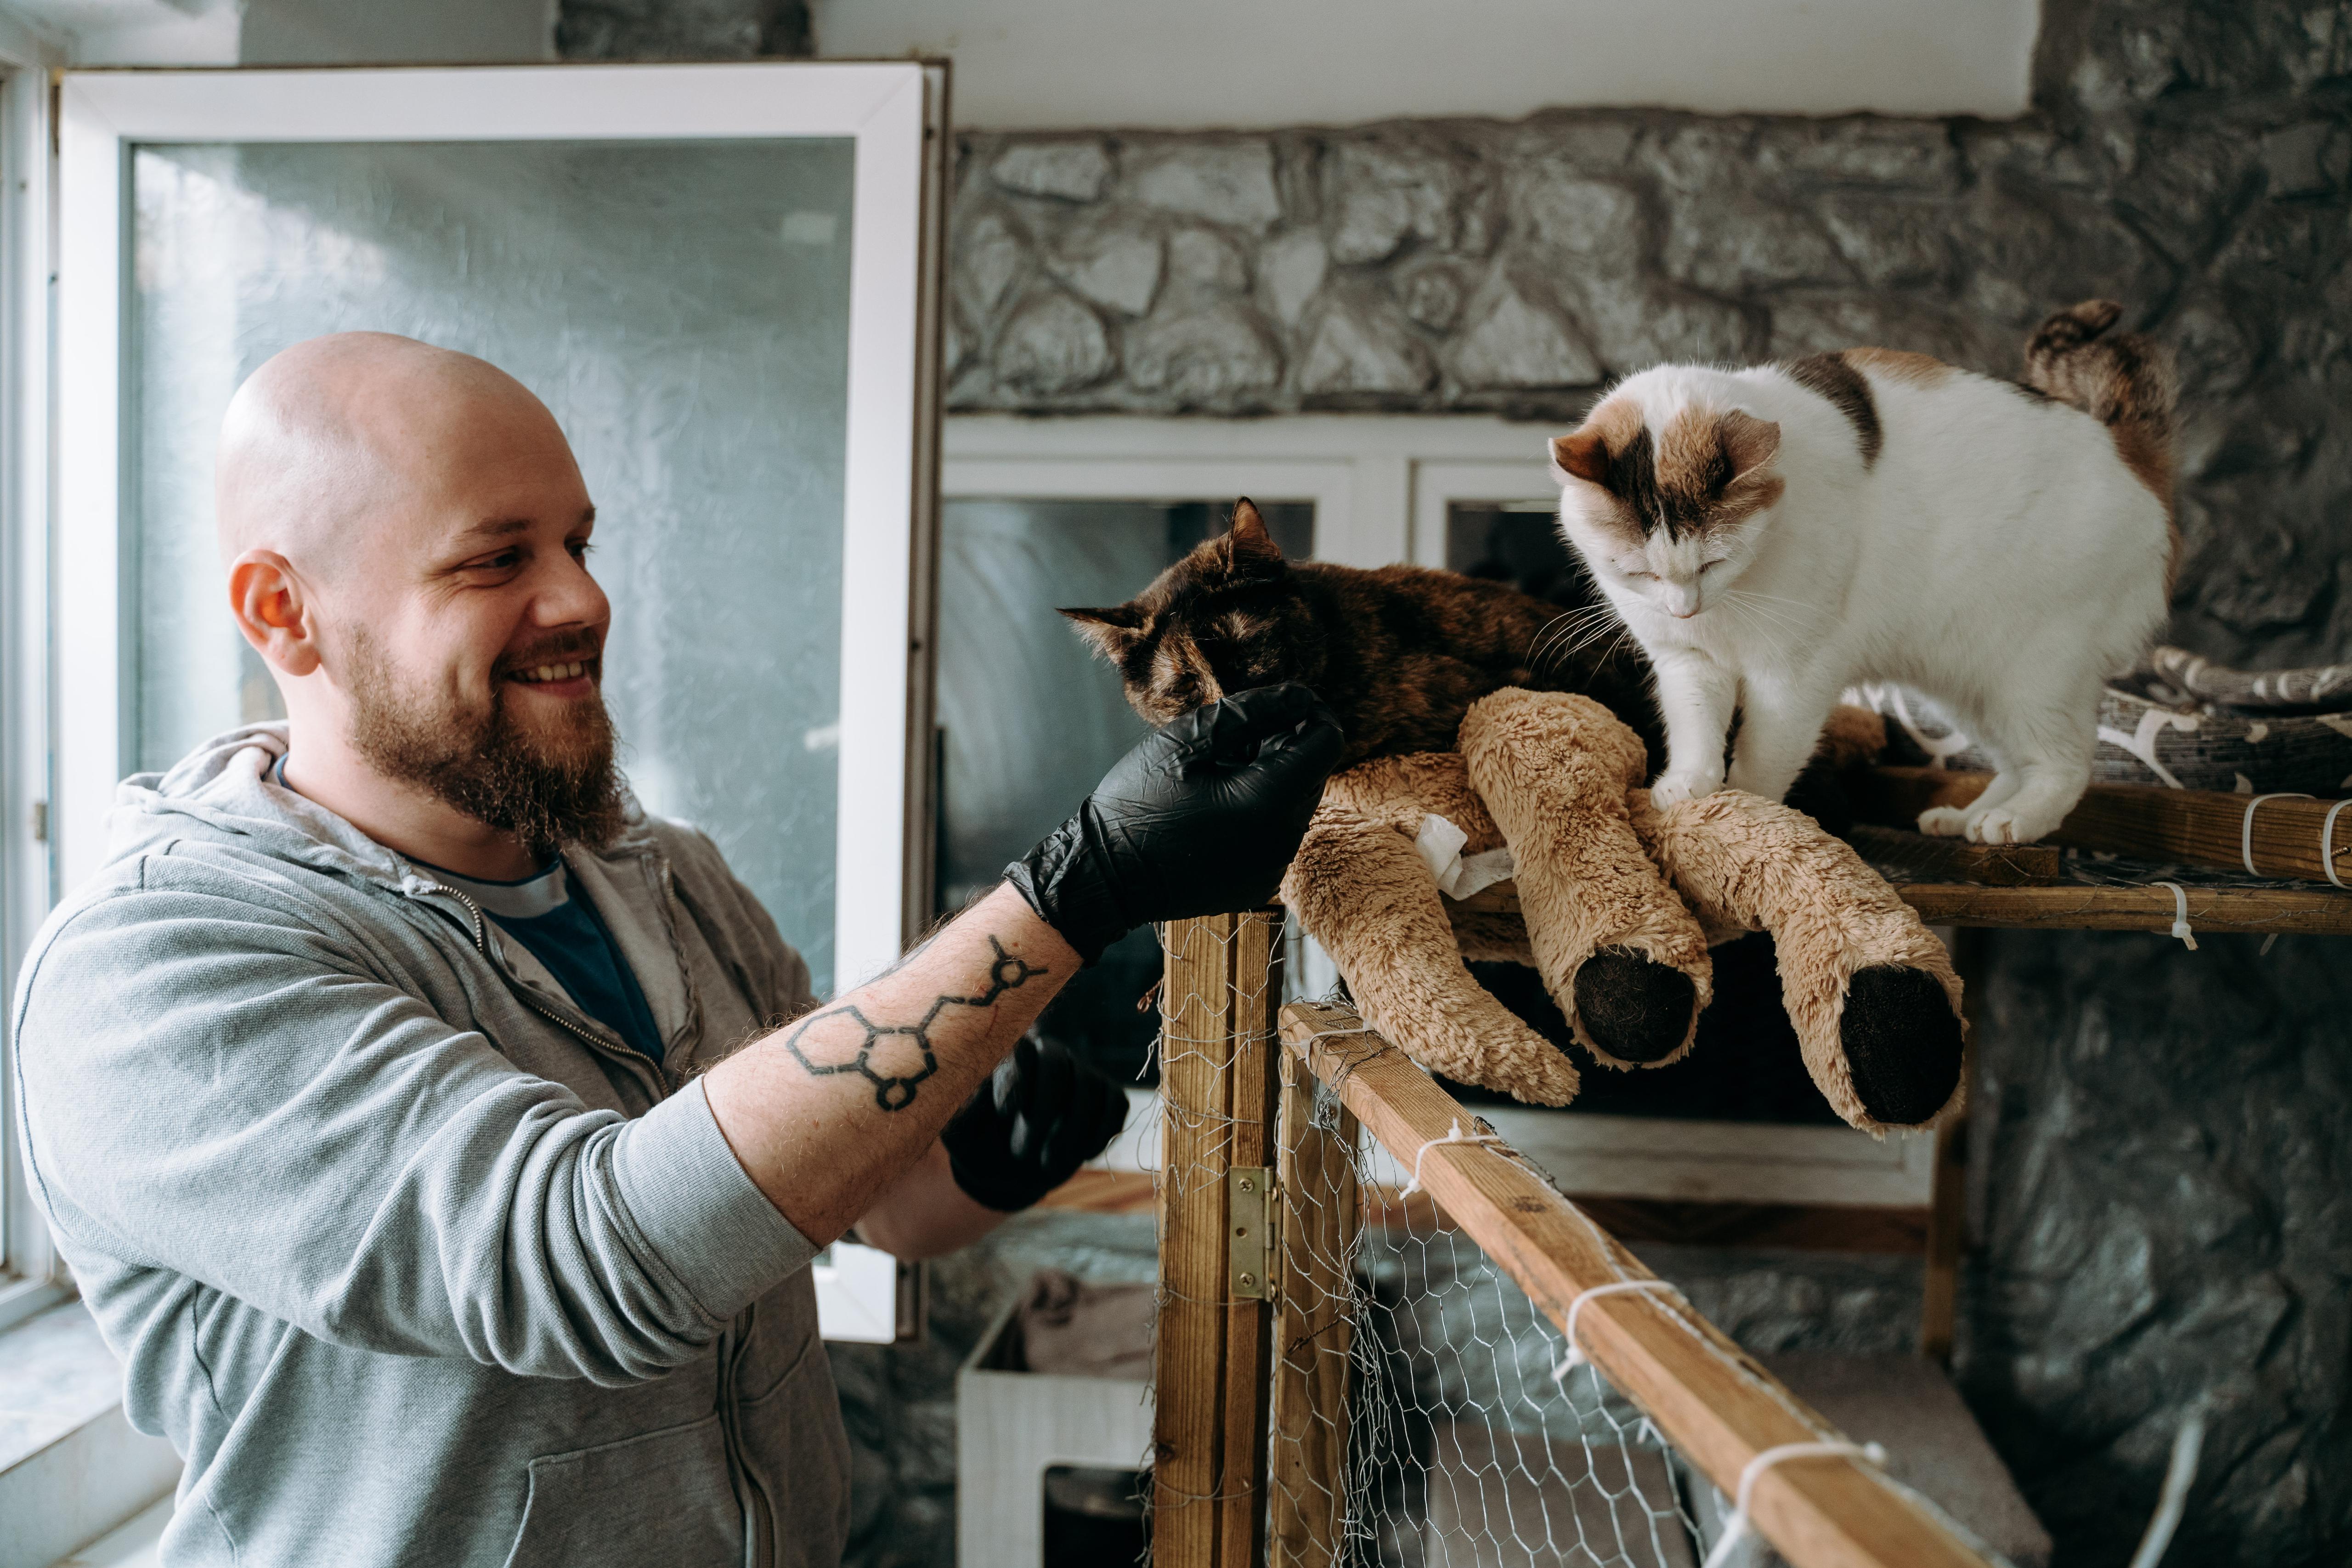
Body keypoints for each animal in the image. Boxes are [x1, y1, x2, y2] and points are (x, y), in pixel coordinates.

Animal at [1547, 299, 2177, 846]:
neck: (1726, 603)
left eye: (1713, 561)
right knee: (2015, 763)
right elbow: (1696, 731)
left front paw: (1747, 813)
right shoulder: (1687, 662)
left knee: (2066, 763)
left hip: (2032, 676)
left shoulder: (1792, 676)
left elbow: (1761, 756)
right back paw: (1965, 817)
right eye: (1635, 572)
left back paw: (2013, 821)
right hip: (1966, 688)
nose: (1683, 608)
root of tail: (2126, 449)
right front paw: (1689, 786)